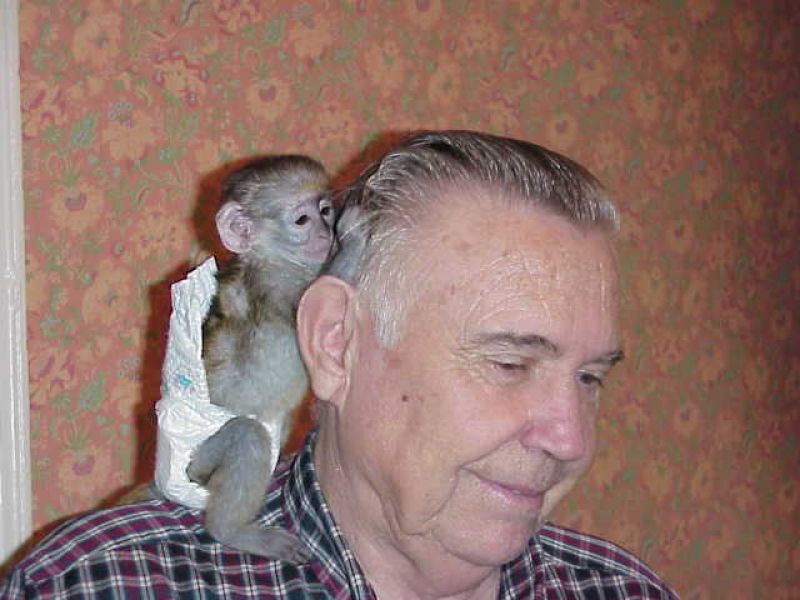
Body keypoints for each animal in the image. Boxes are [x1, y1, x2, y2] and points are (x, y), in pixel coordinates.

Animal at [186, 155, 334, 562]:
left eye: (325, 211)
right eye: (302, 220)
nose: (325, 234)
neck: (278, 259)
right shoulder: (277, 285)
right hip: (200, 457)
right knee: (246, 436)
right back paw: (231, 531)